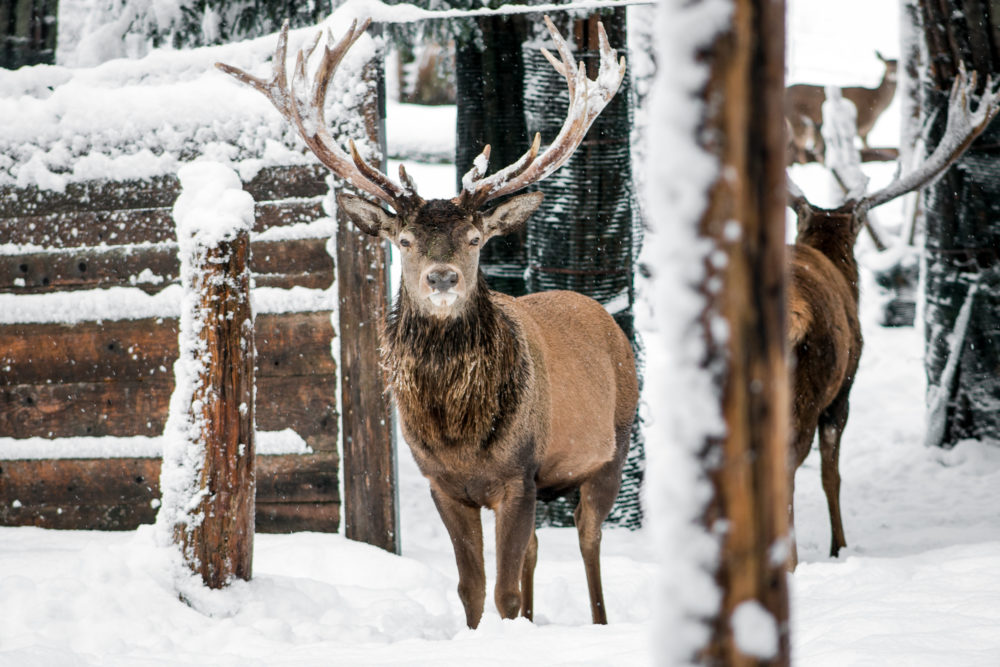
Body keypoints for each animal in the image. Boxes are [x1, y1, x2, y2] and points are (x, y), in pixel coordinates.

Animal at [217, 17, 637, 628]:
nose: (442, 278)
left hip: (612, 451)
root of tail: (607, 318)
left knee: (589, 540)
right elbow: (473, 587)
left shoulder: (518, 473)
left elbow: (504, 592)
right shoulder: (442, 482)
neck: (459, 433)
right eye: (406, 240)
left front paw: (510, 630)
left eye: (476, 239)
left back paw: (600, 622)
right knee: (538, 550)